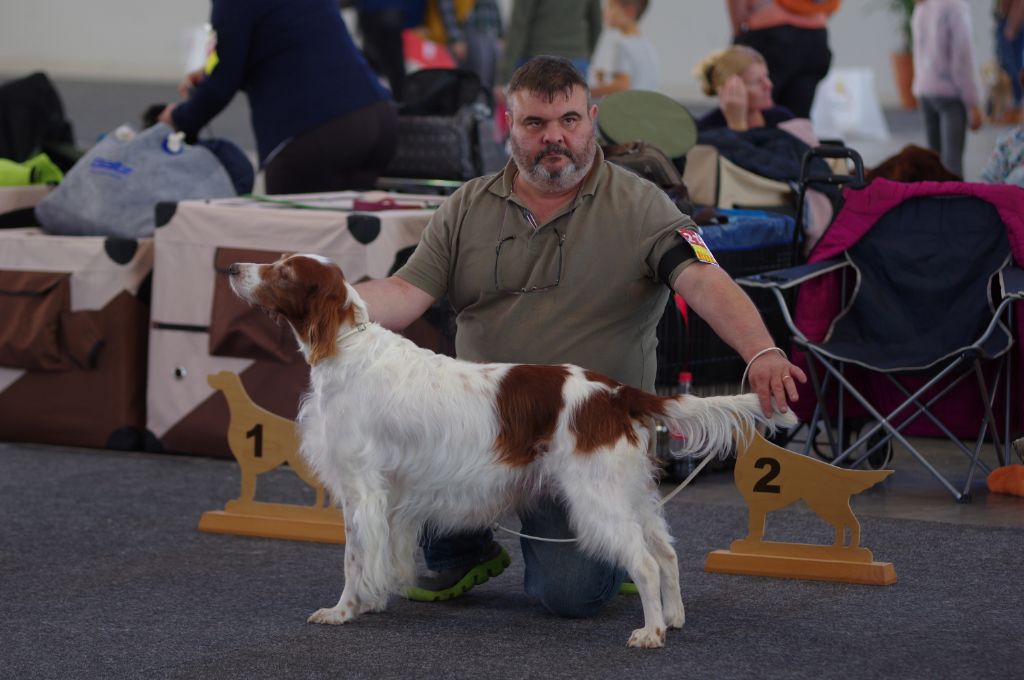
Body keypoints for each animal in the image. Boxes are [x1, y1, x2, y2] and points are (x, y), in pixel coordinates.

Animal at [228, 253, 794, 647]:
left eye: (283, 272)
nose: (232, 266)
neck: (347, 350)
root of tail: (614, 393)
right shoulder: (392, 496)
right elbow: (379, 557)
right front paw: (371, 602)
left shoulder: (361, 489)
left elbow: (353, 559)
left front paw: (343, 611)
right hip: (629, 492)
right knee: (667, 553)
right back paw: (673, 619)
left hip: (596, 498)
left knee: (645, 562)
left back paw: (649, 633)